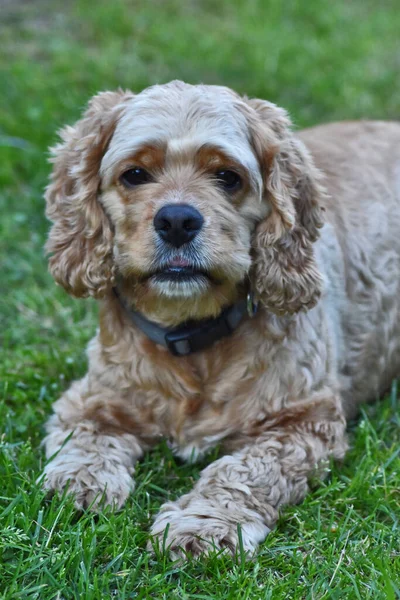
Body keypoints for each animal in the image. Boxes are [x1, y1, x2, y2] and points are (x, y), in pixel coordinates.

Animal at [41, 79, 400, 556]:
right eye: (134, 174)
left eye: (227, 177)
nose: (177, 220)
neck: (191, 337)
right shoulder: (93, 397)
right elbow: (83, 437)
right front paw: (78, 482)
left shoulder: (302, 422)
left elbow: (243, 472)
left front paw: (203, 525)